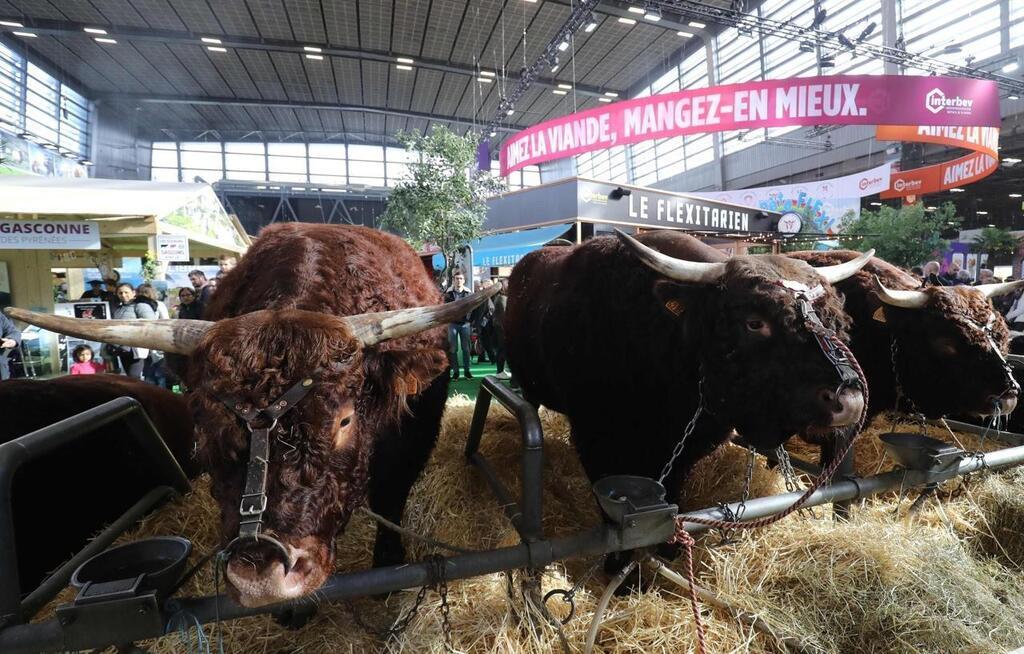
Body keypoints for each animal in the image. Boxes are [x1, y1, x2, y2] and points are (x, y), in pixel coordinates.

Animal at [7, 225, 495, 609]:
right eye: (205, 428)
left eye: (344, 422)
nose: (261, 575)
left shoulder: (409, 444)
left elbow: (390, 500)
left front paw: (388, 573)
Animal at [503, 231, 872, 515]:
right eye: (754, 322)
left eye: (835, 320)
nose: (850, 402)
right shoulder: (595, 436)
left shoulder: (691, 441)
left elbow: (672, 490)